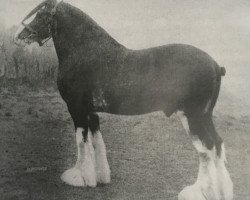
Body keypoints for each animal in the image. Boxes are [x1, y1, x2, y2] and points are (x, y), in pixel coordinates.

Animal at [13, 0, 233, 199]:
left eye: (41, 15)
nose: (18, 37)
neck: (85, 51)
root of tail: (215, 65)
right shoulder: (91, 112)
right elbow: (96, 141)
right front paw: (99, 177)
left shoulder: (77, 109)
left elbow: (81, 142)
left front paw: (79, 177)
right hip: (204, 116)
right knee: (216, 145)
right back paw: (220, 191)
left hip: (193, 116)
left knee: (206, 150)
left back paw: (199, 191)